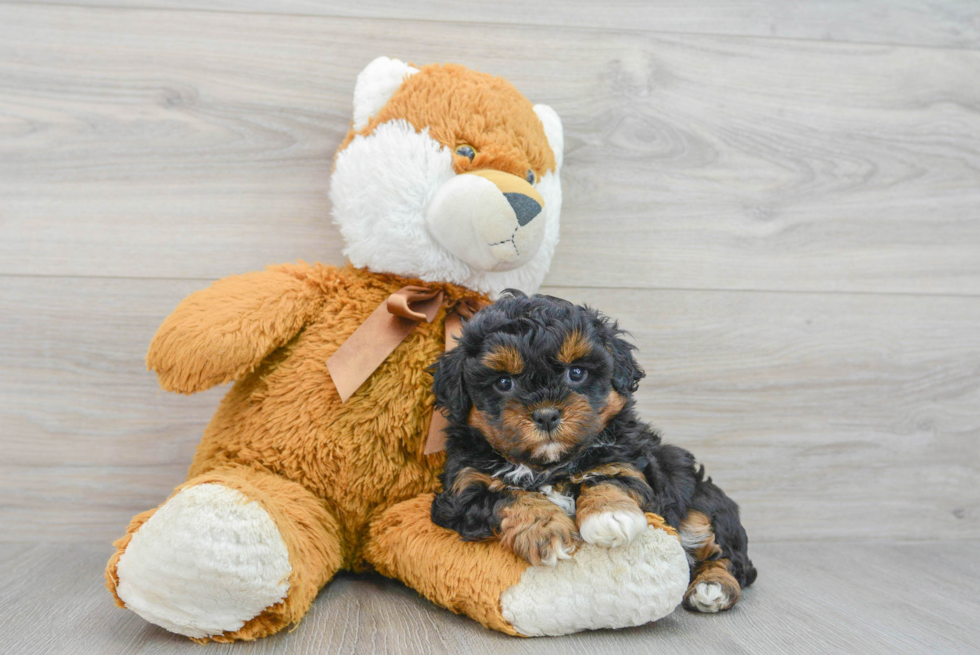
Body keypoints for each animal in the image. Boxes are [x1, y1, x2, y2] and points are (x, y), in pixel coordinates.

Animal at [428, 294, 756, 616]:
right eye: (504, 382)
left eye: (576, 372)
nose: (546, 415)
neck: (548, 465)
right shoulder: (463, 490)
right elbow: (509, 496)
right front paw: (548, 532)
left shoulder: (628, 464)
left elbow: (609, 479)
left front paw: (610, 516)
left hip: (701, 506)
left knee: (727, 555)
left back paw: (713, 587)